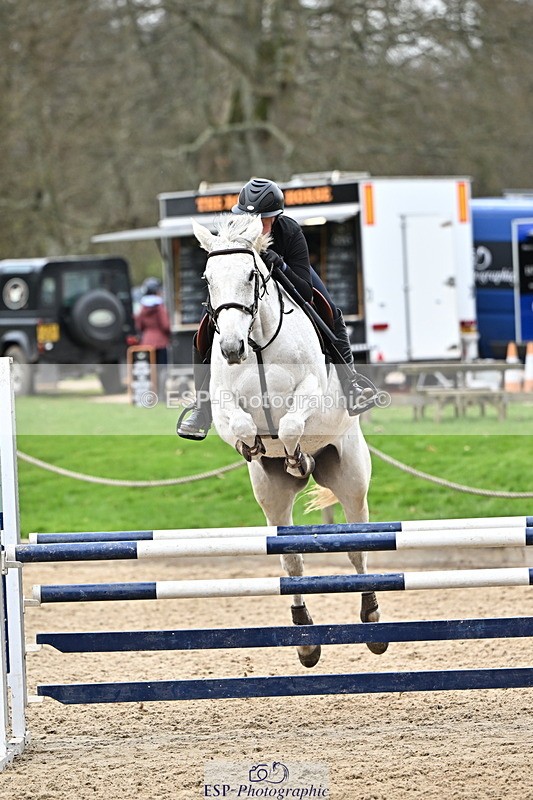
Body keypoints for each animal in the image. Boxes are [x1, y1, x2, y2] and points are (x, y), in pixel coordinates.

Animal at [193, 213, 388, 667]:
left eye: (251, 275)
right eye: (207, 279)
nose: (231, 348)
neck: (258, 341)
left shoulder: (310, 392)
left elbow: (289, 427)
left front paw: (298, 457)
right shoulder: (224, 404)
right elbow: (242, 426)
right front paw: (254, 447)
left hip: (352, 479)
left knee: (358, 548)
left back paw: (371, 618)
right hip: (272, 496)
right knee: (291, 559)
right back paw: (305, 638)